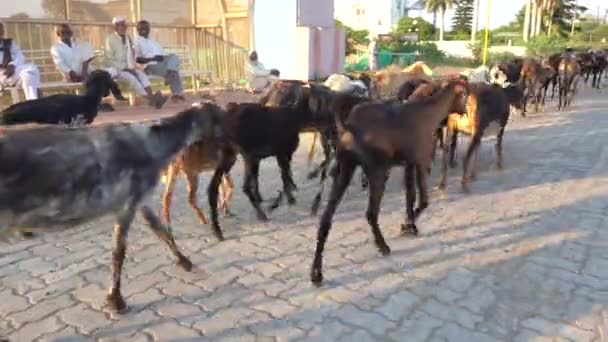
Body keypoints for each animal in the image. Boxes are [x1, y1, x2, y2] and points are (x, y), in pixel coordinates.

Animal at [0, 104, 224, 312]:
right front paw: (115, 299)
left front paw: (184, 261)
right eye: (221, 115)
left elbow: (162, 231)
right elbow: (119, 252)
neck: (153, 143)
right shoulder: (127, 204)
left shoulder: (141, 200)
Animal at [312, 79, 468, 286]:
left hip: (344, 171)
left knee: (326, 219)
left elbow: (410, 196)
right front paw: (408, 225)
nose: (466, 111)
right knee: (371, 213)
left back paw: (316, 272)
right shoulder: (421, 161)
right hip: (378, 172)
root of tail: (350, 126)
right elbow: (424, 200)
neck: (427, 111)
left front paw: (410, 224)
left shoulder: (409, 165)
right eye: (465, 94)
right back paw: (383, 246)